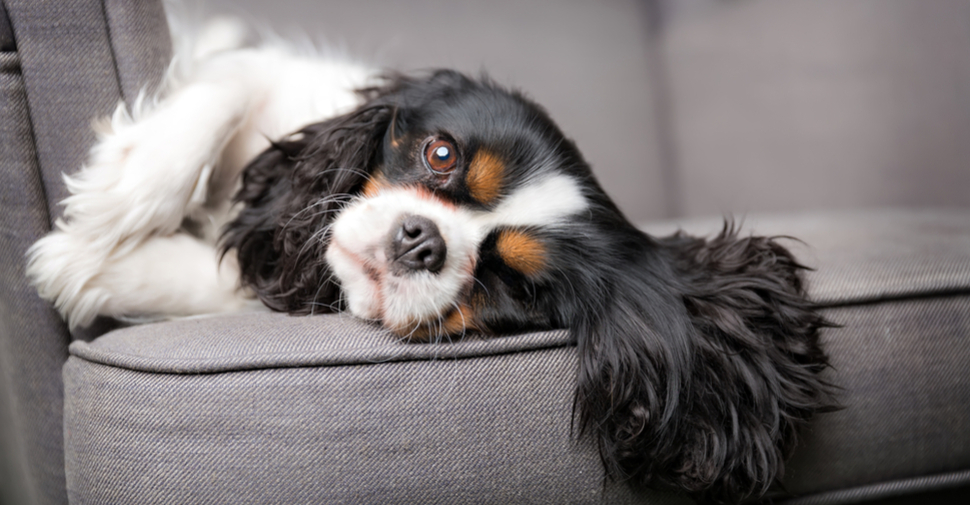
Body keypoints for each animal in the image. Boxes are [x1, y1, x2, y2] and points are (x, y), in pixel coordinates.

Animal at [28, 21, 832, 504]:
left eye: (512, 281)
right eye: (440, 154)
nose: (423, 241)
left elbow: (220, 280)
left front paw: (80, 262)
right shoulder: (276, 77)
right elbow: (228, 85)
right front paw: (123, 190)